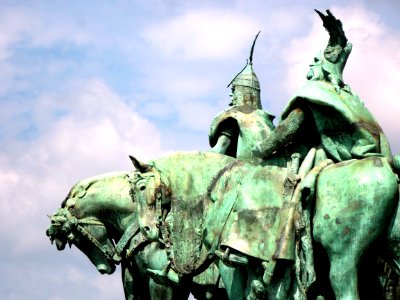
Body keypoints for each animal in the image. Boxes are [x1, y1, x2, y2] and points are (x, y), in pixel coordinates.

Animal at [131, 151, 400, 298]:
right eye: (132, 195)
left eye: (141, 188)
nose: (146, 230)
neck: (218, 187)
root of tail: (388, 163)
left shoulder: (230, 267)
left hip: (344, 259)